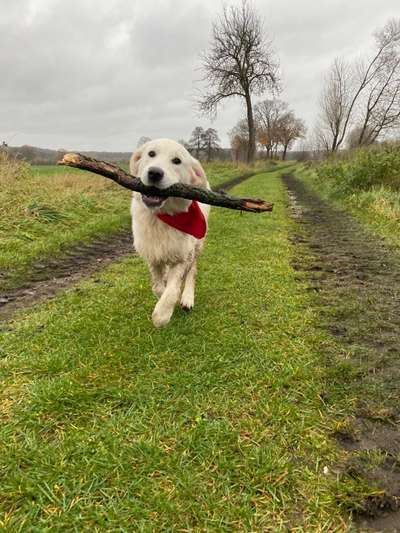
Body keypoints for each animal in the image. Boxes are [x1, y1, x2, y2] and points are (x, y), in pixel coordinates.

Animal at [130, 137, 211, 326]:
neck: (163, 216)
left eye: (177, 161)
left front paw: (162, 315)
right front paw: (162, 293)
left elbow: (172, 289)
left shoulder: (182, 256)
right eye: (151, 153)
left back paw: (187, 297)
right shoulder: (152, 255)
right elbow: (158, 287)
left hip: (197, 246)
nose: (154, 173)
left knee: (192, 271)